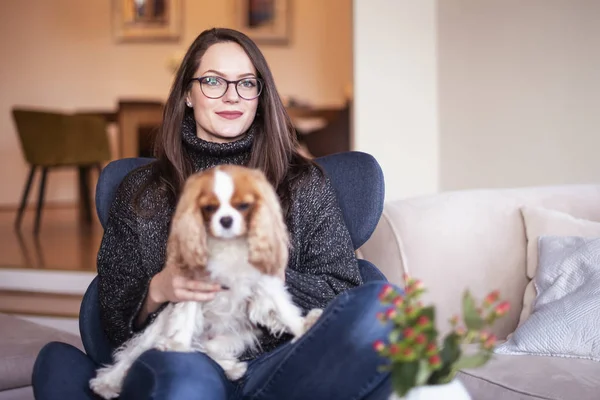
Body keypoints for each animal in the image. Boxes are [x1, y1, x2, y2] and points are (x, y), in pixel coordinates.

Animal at [89, 164, 322, 398]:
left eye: (243, 206)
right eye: (209, 208)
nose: (226, 220)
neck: (230, 247)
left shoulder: (265, 281)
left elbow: (283, 307)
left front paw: (302, 326)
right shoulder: (192, 288)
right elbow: (186, 319)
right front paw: (178, 346)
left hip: (234, 338)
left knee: (205, 350)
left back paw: (231, 367)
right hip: (157, 328)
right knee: (133, 354)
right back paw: (107, 383)